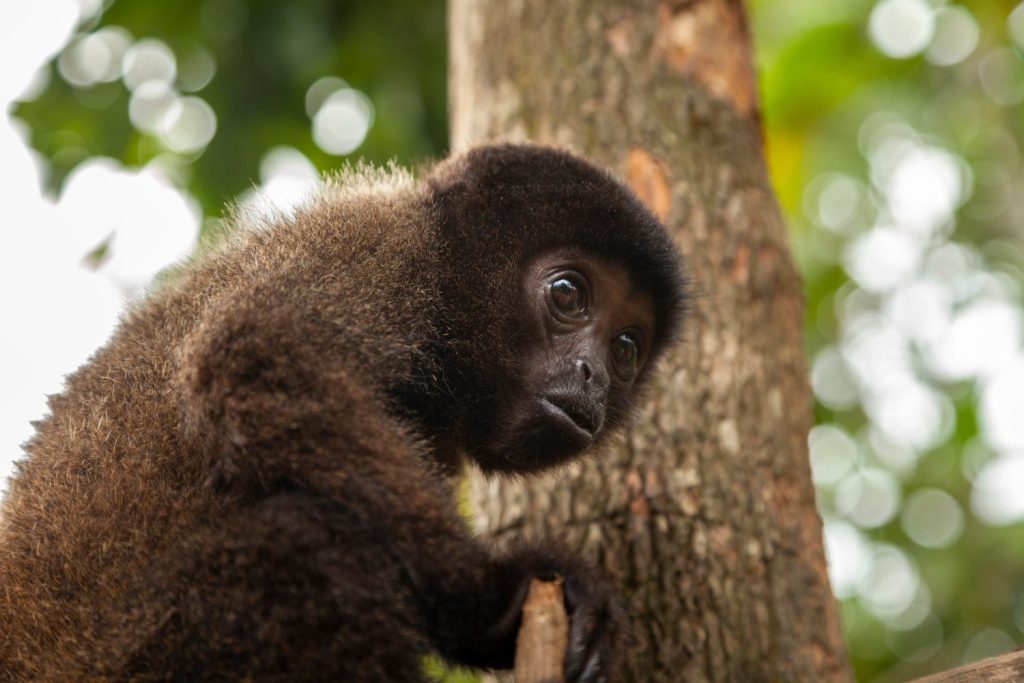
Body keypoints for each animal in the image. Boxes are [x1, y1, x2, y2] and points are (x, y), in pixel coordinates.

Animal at [2, 141, 688, 679]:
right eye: (568, 293)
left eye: (627, 347)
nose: (594, 375)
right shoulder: (381, 253)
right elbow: (254, 352)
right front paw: (492, 598)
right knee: (308, 540)